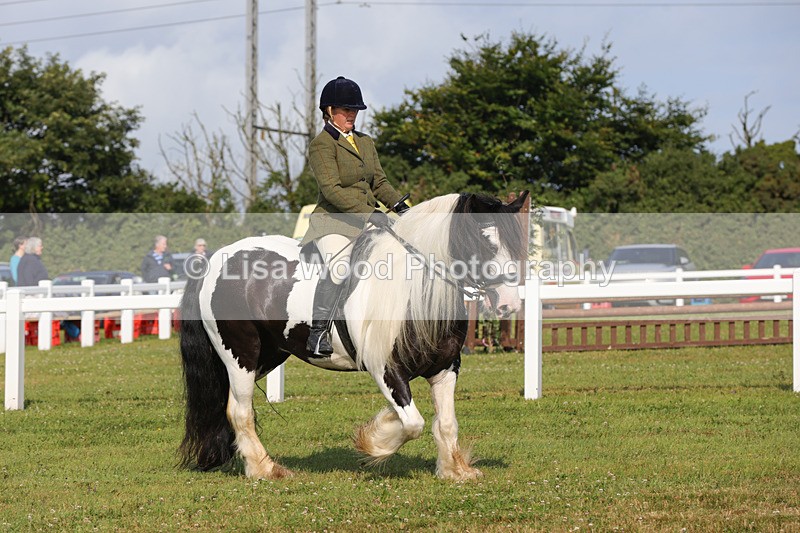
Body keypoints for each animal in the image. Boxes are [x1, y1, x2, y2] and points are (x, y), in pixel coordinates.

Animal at [178, 191, 529, 481]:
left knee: (232, 405)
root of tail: (216, 259)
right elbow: (411, 422)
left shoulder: (445, 368)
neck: (414, 289)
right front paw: (373, 440)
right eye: (485, 241)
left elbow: (445, 422)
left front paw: (455, 471)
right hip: (241, 355)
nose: (509, 304)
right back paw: (264, 469)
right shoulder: (385, 369)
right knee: (240, 411)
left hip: (268, 356)